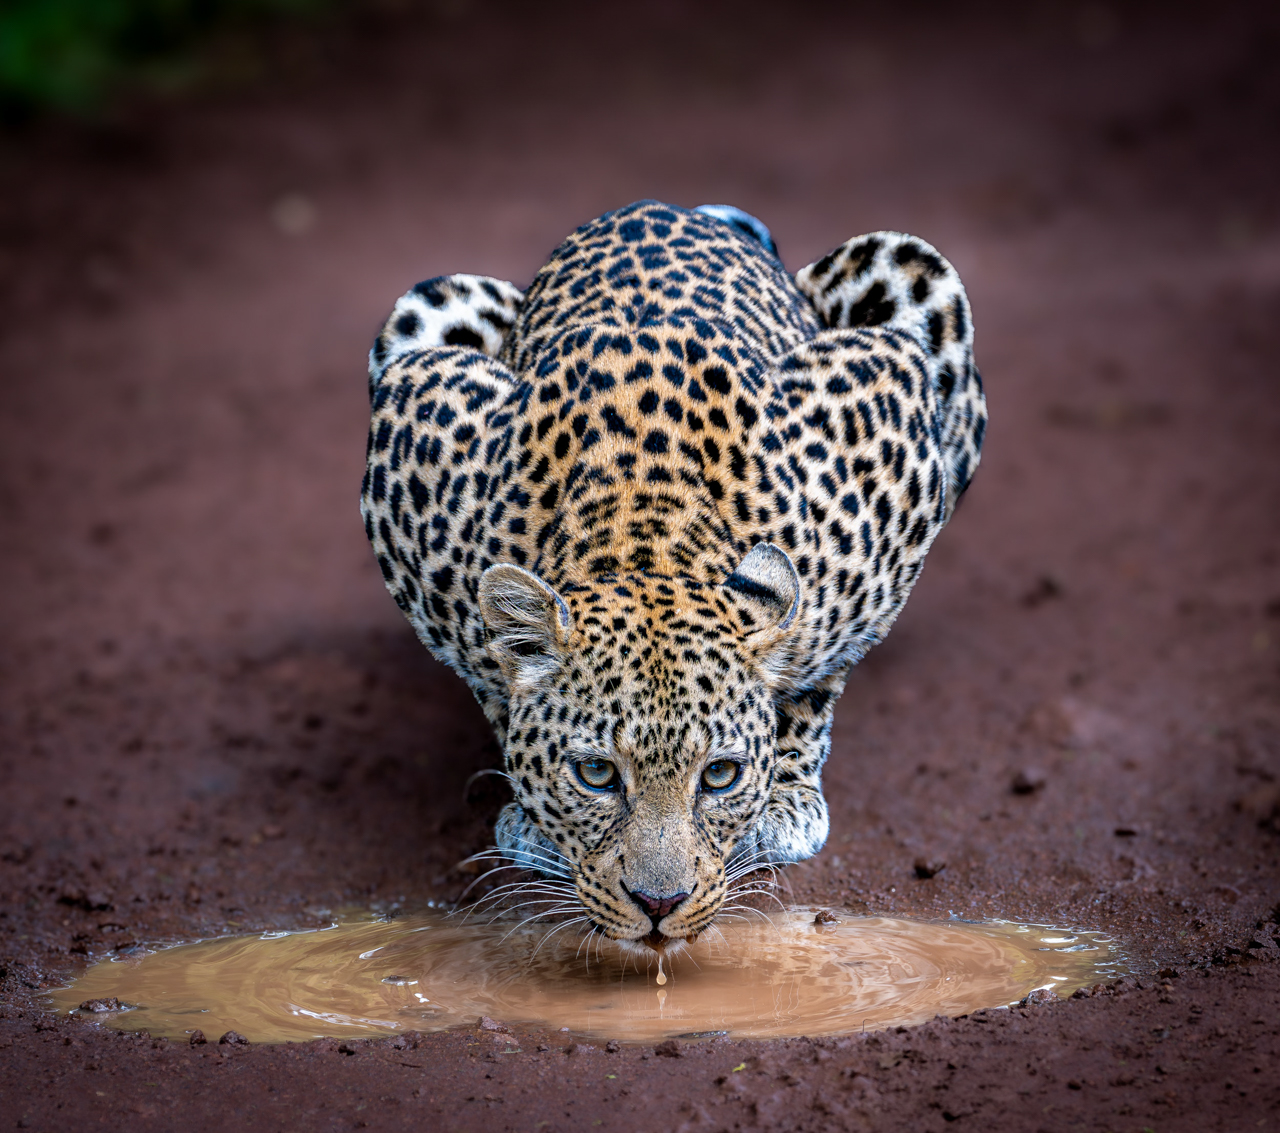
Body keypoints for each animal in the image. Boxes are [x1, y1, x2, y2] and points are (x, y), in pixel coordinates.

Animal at [361, 200, 986, 954]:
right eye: (596, 774)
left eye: (720, 775)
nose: (660, 903)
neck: (644, 531)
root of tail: (674, 206)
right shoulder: (414, 419)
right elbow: (493, 684)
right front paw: (531, 809)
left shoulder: (886, 396)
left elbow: (820, 668)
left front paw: (786, 794)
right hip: (424, 311)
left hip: (911, 271)